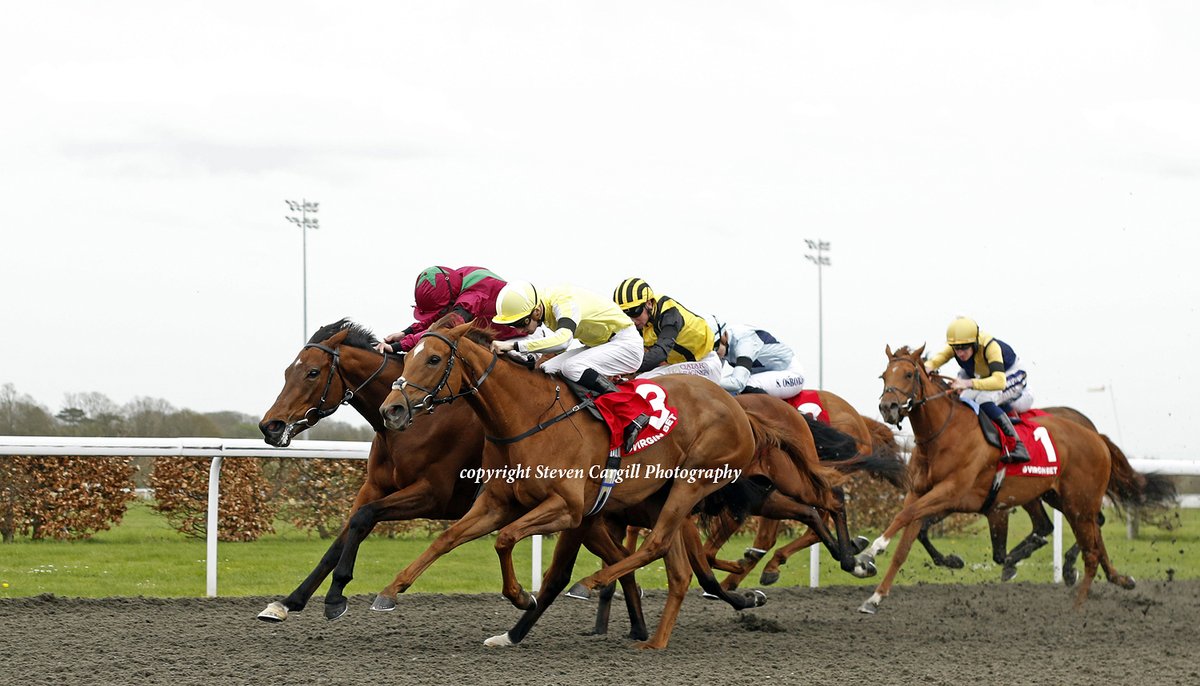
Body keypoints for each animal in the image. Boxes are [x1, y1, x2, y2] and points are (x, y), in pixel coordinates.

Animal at [379, 326, 859, 647]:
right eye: (407, 355)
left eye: (434, 359)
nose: (392, 410)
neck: (529, 419)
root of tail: (741, 409)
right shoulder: (498, 503)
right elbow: (448, 539)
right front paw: (390, 591)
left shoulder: (569, 509)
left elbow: (508, 542)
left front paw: (520, 597)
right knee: (681, 562)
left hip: (700, 482)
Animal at [859, 345, 1166, 614]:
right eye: (884, 376)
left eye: (908, 374)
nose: (888, 407)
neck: (943, 434)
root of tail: (1097, 436)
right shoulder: (924, 493)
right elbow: (907, 542)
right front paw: (875, 597)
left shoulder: (950, 492)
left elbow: (906, 517)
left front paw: (872, 550)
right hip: (1057, 498)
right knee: (1086, 535)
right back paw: (1118, 579)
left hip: (1078, 502)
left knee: (1090, 536)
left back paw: (1077, 590)